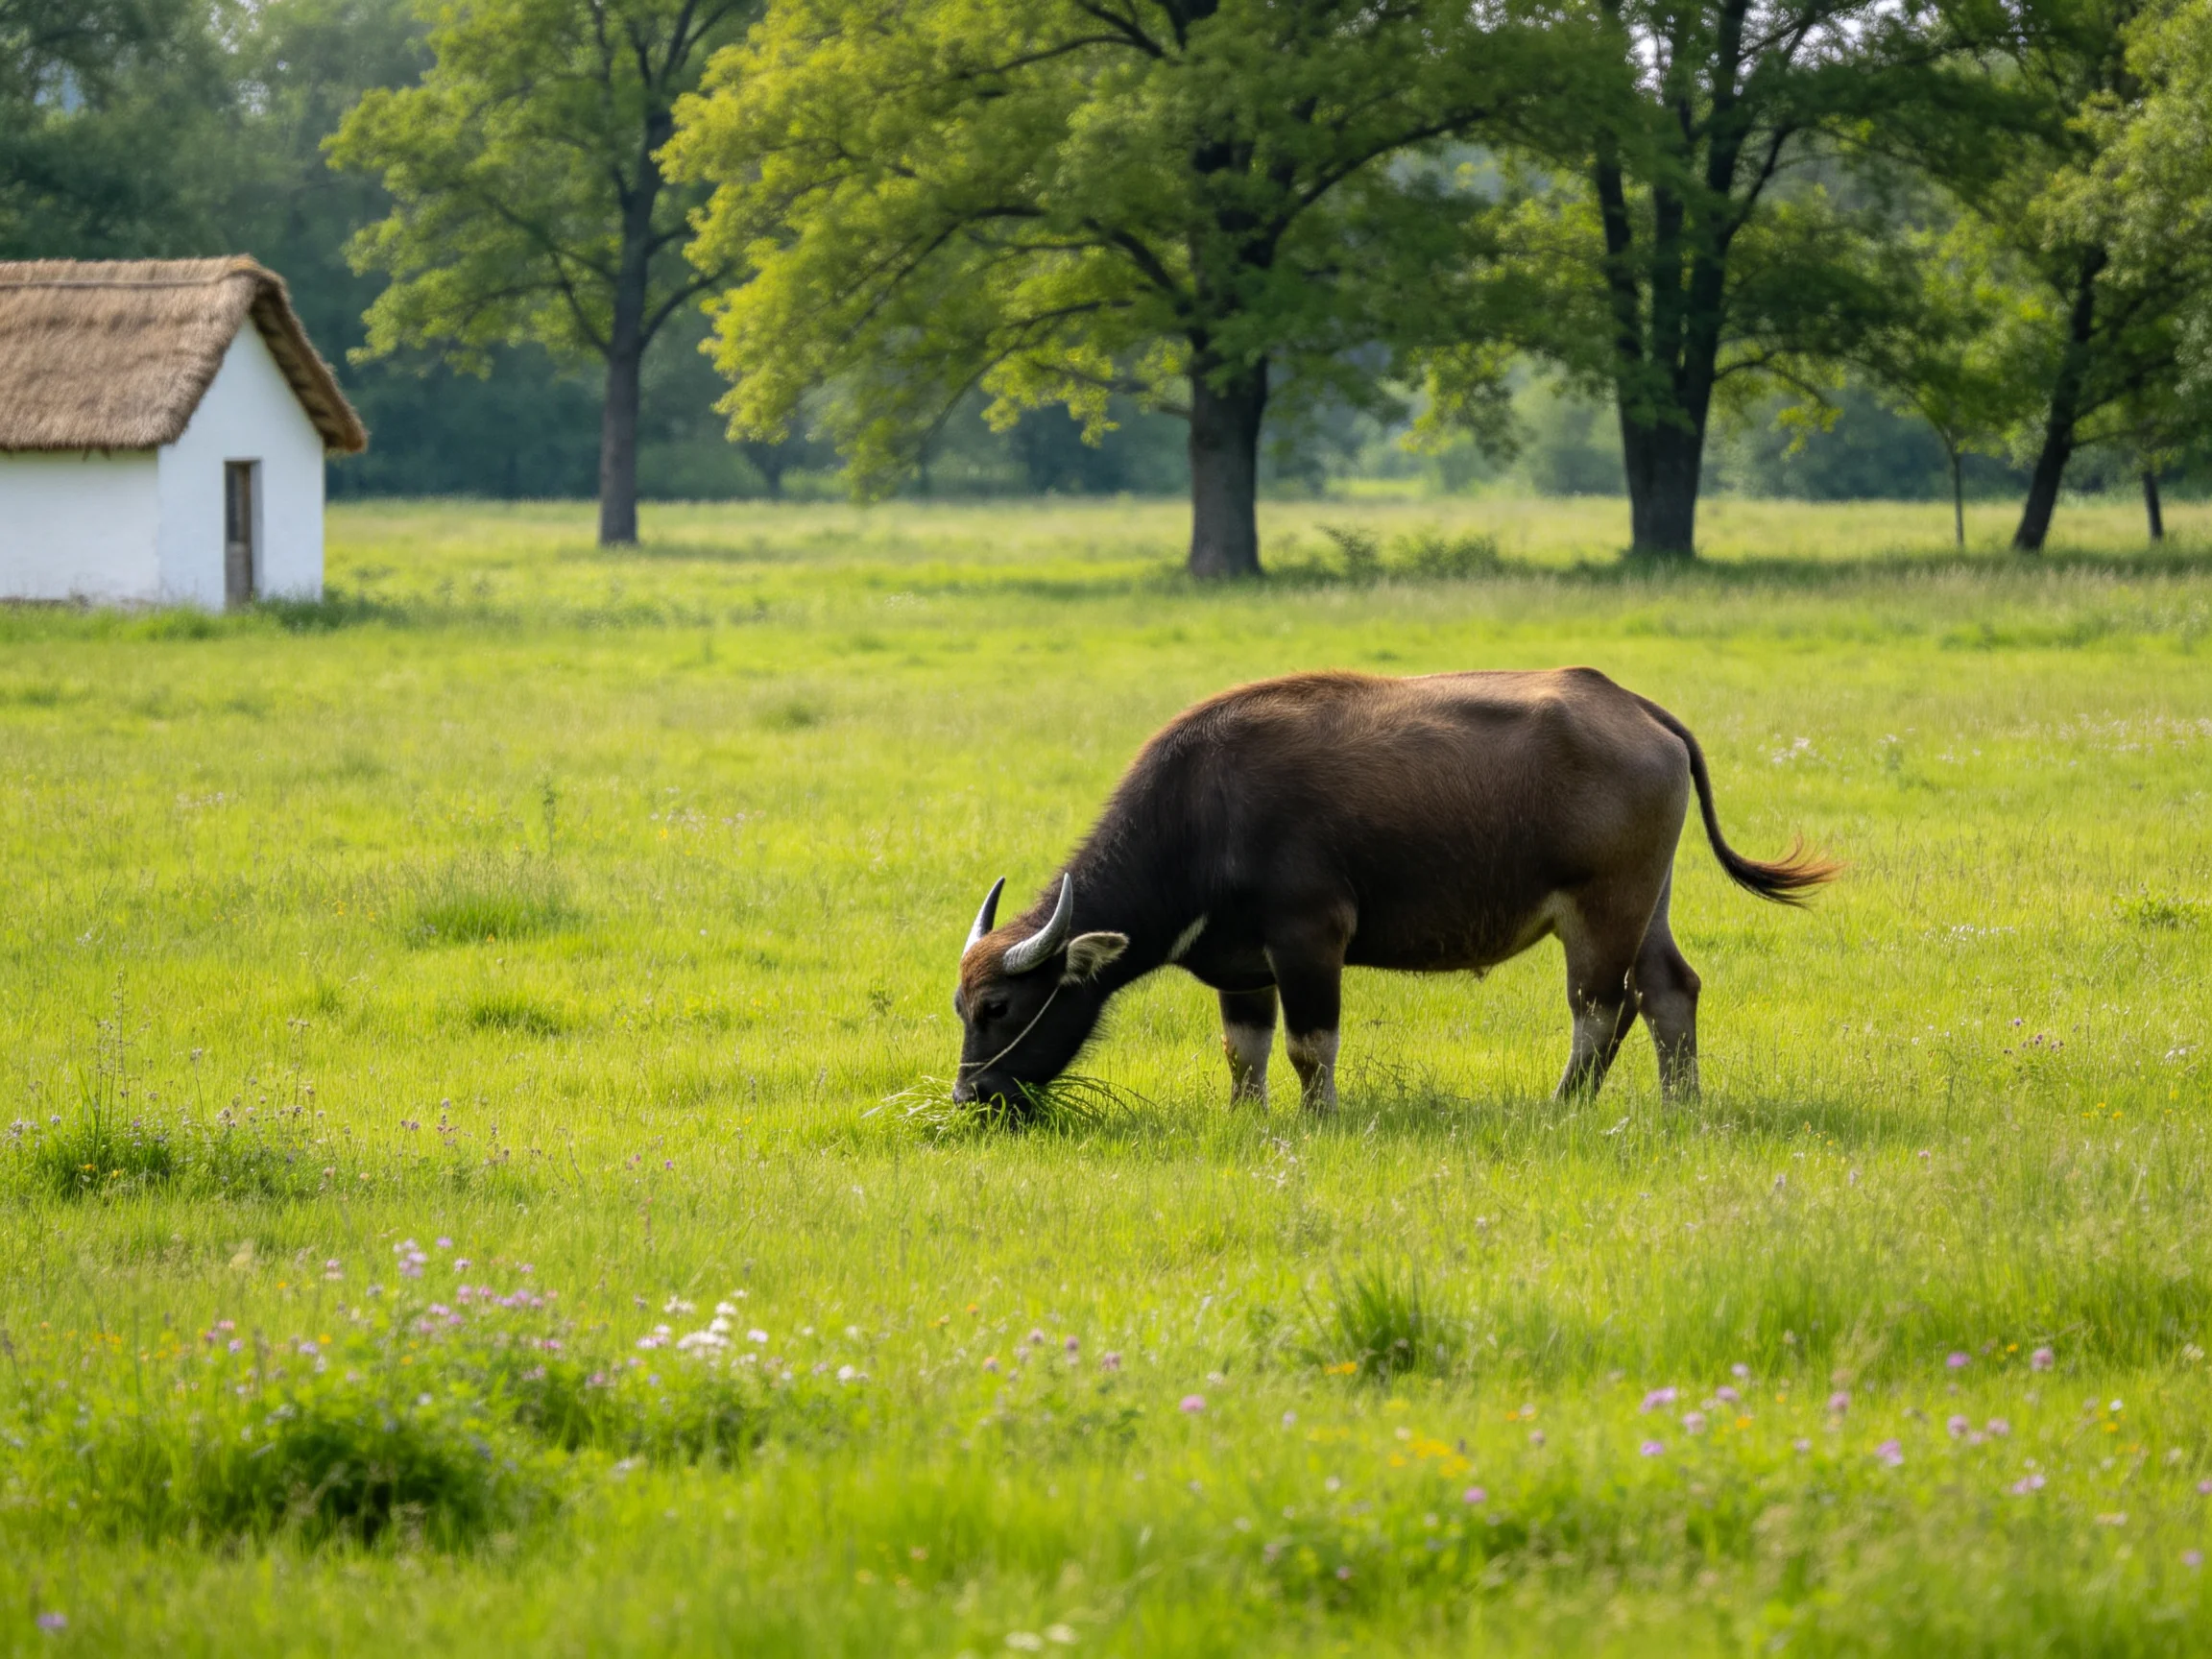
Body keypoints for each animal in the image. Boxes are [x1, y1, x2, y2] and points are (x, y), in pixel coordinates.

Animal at [951, 668, 1837, 1114]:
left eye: (998, 1006)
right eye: (960, 1008)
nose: (969, 1097)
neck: (1204, 814)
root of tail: (1638, 708)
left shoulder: (1310, 936)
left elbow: (1310, 1047)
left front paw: (1318, 1122)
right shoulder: (1243, 965)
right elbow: (1245, 1052)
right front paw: (1246, 1120)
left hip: (1602, 907)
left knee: (1601, 1008)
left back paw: (1564, 1106)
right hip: (1648, 900)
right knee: (1669, 991)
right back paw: (1680, 1105)